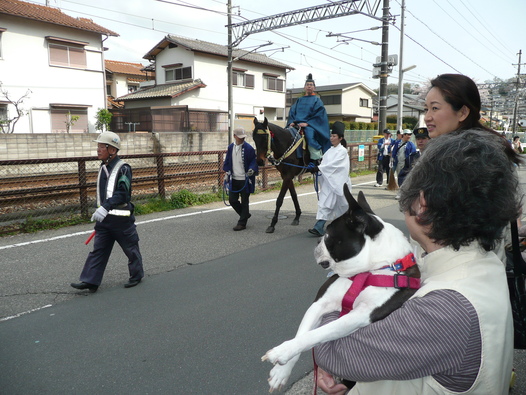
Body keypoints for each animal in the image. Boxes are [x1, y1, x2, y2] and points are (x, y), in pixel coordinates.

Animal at [262, 186, 422, 392]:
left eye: (328, 235)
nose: (317, 242)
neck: (368, 271)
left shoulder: (360, 316)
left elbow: (318, 333)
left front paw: (282, 351)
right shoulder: (319, 304)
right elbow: (303, 332)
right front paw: (281, 372)